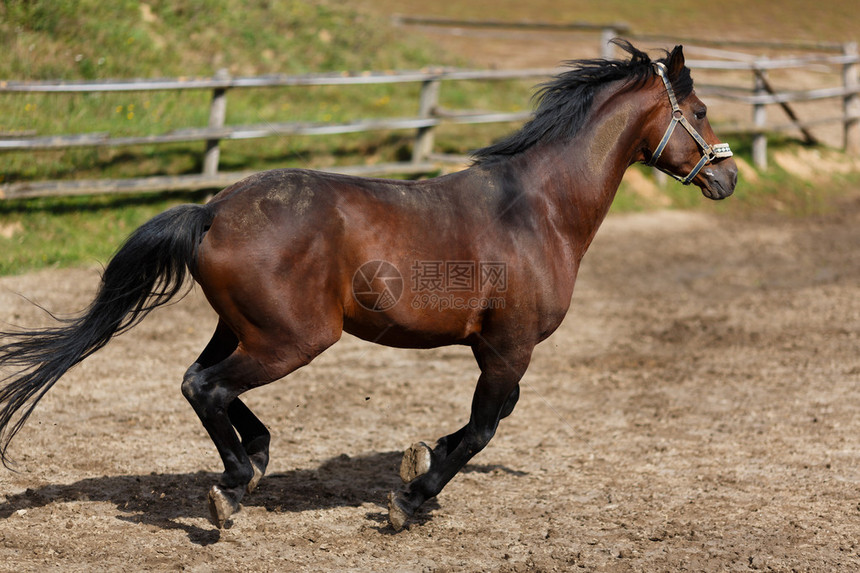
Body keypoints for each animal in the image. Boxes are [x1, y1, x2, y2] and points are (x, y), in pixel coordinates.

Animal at [1, 40, 740, 528]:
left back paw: (251, 465)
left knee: (199, 382)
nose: (727, 177)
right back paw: (235, 484)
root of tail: (212, 211)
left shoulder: (497, 349)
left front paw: (418, 461)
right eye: (702, 110)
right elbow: (484, 427)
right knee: (207, 387)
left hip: (244, 329)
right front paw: (412, 498)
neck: (537, 210)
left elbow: (486, 421)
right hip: (293, 339)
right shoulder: (509, 346)